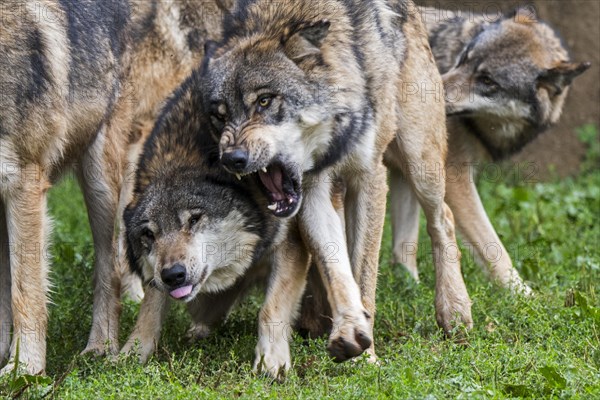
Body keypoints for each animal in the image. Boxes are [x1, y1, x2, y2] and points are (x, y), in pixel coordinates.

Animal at [0, 0, 132, 376]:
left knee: (110, 268)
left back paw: (100, 347)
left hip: (100, 182)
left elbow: (26, 292)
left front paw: (25, 370)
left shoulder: (23, 182)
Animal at [120, 73, 312, 380]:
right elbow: (150, 305)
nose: (173, 275)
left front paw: (271, 360)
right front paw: (132, 353)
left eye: (194, 219)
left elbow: (270, 308)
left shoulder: (289, 241)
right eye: (148, 235)